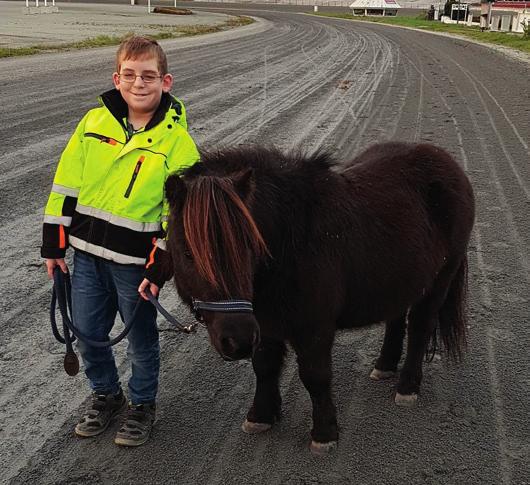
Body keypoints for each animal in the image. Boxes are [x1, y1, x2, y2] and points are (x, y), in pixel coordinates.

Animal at [163, 141, 472, 454]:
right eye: (188, 253)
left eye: (250, 246)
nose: (237, 341)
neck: (291, 243)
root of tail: (445, 160)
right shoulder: (265, 325)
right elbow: (264, 368)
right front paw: (261, 416)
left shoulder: (314, 329)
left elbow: (315, 376)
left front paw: (325, 433)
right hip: (400, 279)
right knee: (395, 319)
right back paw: (384, 366)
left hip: (440, 279)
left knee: (421, 328)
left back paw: (407, 387)